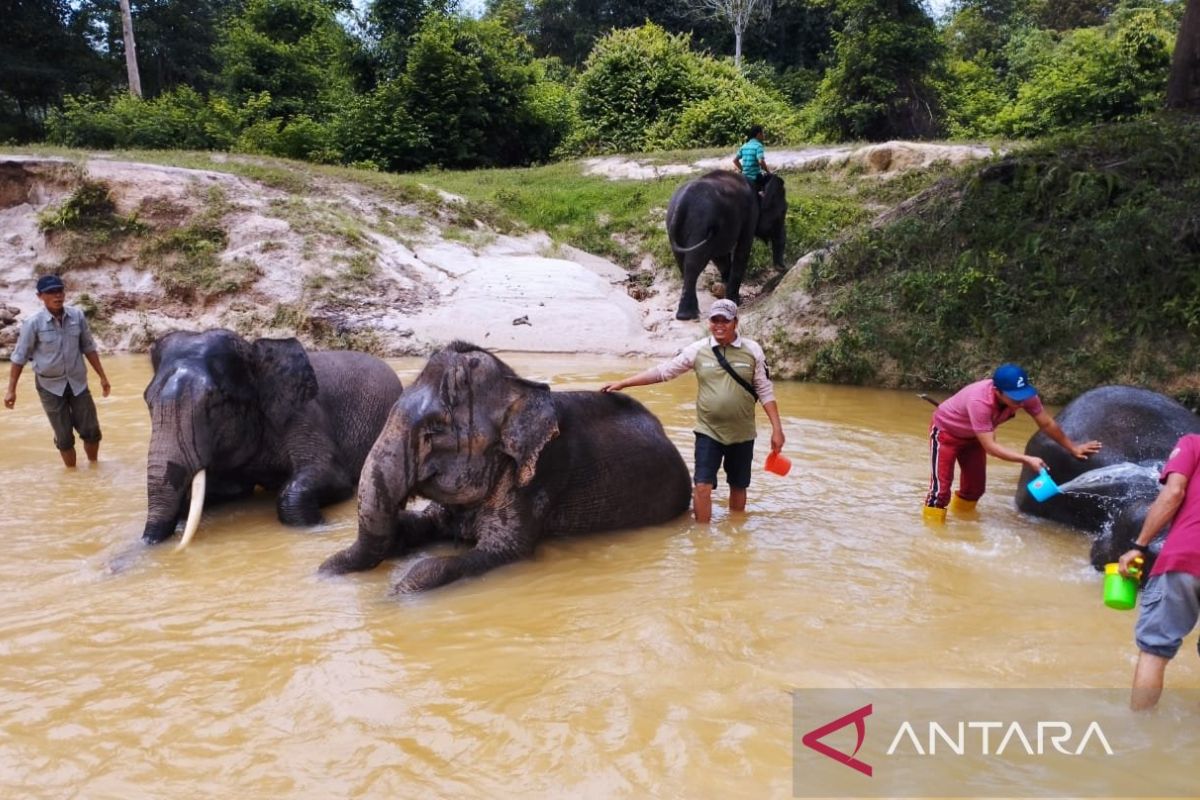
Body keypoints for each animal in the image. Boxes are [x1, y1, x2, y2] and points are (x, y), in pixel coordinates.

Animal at [319, 340, 696, 592]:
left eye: (434, 431)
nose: (322, 573)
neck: (516, 388)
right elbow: (421, 524)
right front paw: (324, 571)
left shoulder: (541, 478)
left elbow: (501, 550)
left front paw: (398, 594)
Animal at [667, 170, 787, 321]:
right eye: (783, 211)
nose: (783, 268)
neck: (758, 182)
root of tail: (680, 205)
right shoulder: (751, 214)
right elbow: (742, 249)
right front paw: (735, 301)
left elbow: (721, 257)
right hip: (699, 225)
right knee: (693, 263)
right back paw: (688, 315)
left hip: (675, 229)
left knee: (682, 261)